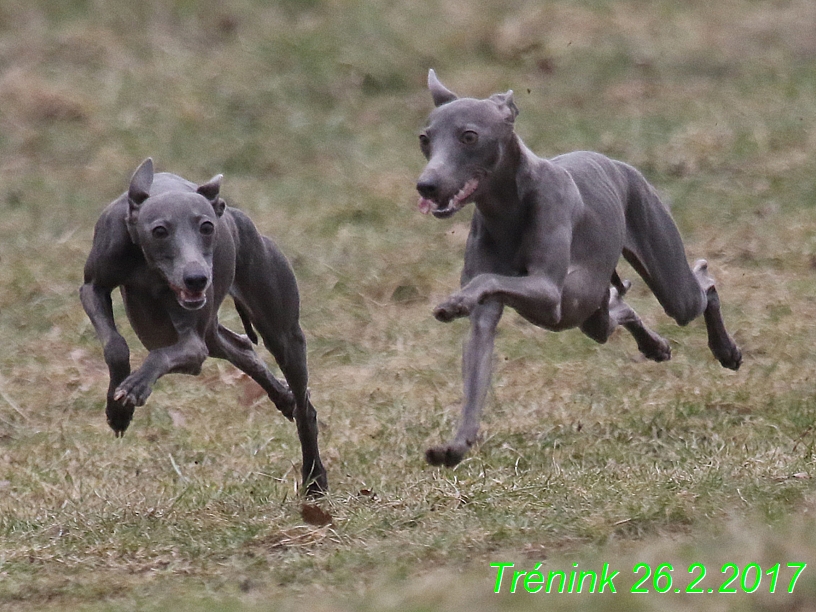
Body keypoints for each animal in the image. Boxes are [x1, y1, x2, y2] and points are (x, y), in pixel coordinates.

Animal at [79, 159, 326, 498]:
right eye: (159, 231)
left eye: (207, 227)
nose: (196, 279)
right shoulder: (94, 287)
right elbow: (115, 346)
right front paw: (118, 410)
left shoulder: (191, 343)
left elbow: (165, 355)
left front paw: (135, 386)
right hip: (190, 328)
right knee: (240, 347)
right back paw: (283, 396)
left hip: (282, 333)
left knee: (305, 410)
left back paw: (314, 478)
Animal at [418, 69, 744, 466]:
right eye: (425, 139)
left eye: (469, 136)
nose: (427, 186)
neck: (508, 208)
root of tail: (614, 163)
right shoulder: (493, 317)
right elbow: (477, 358)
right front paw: (457, 445)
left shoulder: (548, 292)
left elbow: (488, 279)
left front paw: (454, 302)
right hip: (590, 312)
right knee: (617, 309)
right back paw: (654, 346)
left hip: (668, 277)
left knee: (703, 282)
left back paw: (726, 350)